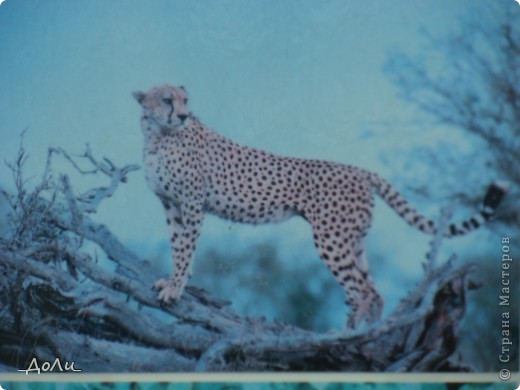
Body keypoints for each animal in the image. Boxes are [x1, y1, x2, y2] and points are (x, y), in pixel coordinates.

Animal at [131, 85, 508, 330]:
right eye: (167, 100)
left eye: (185, 100)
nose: (183, 115)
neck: (157, 136)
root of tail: (361, 170)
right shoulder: (172, 205)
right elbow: (178, 246)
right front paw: (171, 280)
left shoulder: (192, 204)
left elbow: (186, 249)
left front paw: (175, 287)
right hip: (354, 241)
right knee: (374, 291)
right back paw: (371, 336)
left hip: (331, 239)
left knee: (361, 291)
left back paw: (350, 339)